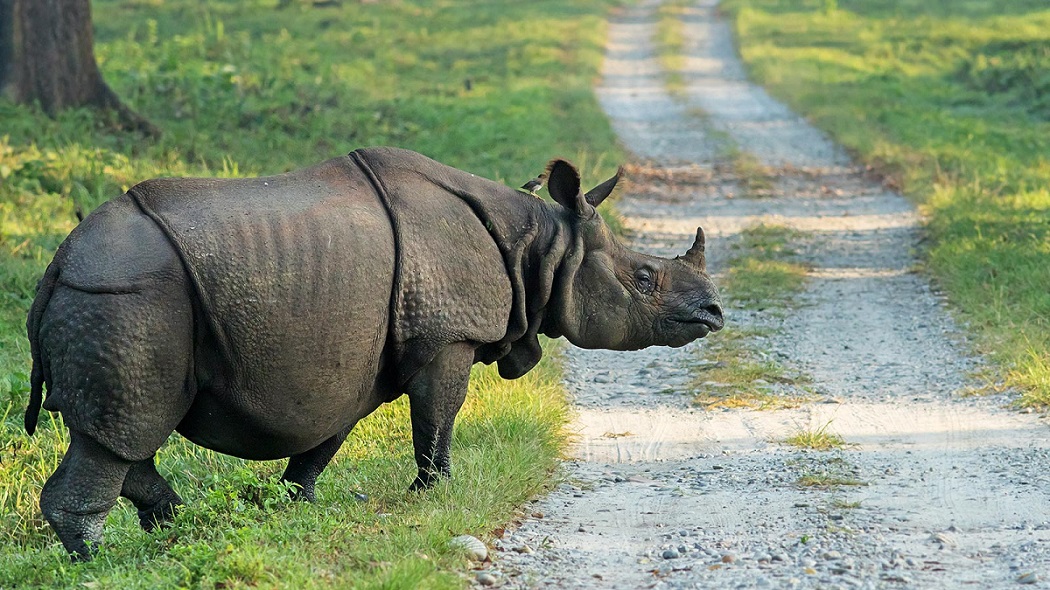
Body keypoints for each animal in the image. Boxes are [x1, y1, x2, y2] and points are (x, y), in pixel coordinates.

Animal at [24, 147, 723, 560]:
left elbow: (327, 435)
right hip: (129, 298)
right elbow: (437, 417)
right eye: (644, 279)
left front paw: (300, 506)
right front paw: (434, 495)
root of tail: (57, 265)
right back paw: (101, 563)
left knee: (126, 433)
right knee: (121, 431)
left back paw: (172, 527)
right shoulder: (447, 336)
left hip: (121, 299)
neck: (542, 244)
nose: (715, 314)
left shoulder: (353, 357)